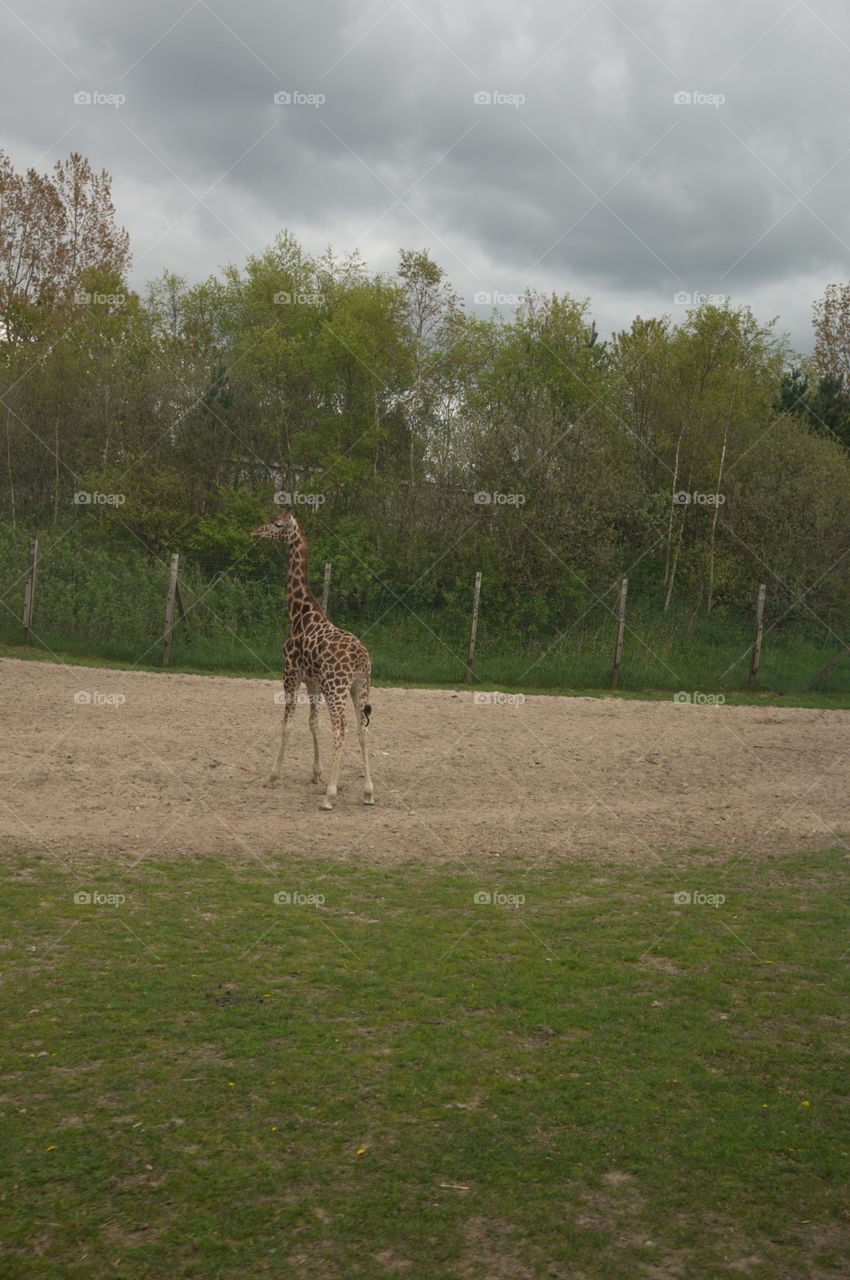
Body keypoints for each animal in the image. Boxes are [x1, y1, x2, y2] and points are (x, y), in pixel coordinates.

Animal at [251, 509, 374, 810]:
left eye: (277, 524)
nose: (255, 532)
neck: (299, 613)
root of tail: (361, 657)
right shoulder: (312, 682)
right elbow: (312, 722)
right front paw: (316, 774)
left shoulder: (290, 673)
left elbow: (287, 724)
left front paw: (272, 776)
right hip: (359, 686)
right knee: (361, 728)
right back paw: (368, 792)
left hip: (336, 687)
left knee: (341, 728)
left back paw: (330, 795)